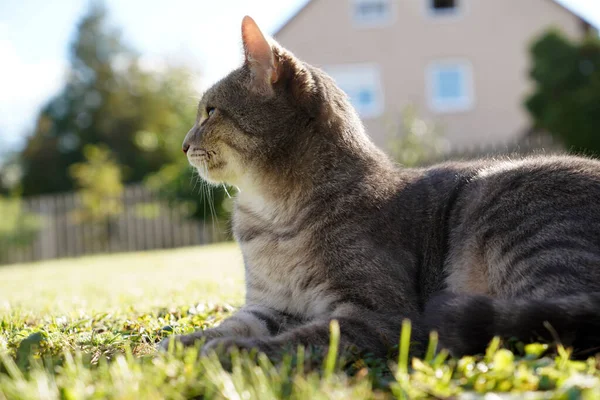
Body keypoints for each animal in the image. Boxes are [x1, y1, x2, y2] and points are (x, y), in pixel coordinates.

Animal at [159, 16, 600, 360]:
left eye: (210, 112)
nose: (182, 144)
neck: (270, 218)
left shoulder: (380, 314)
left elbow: (307, 339)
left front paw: (236, 352)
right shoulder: (272, 305)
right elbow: (233, 322)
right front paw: (185, 341)